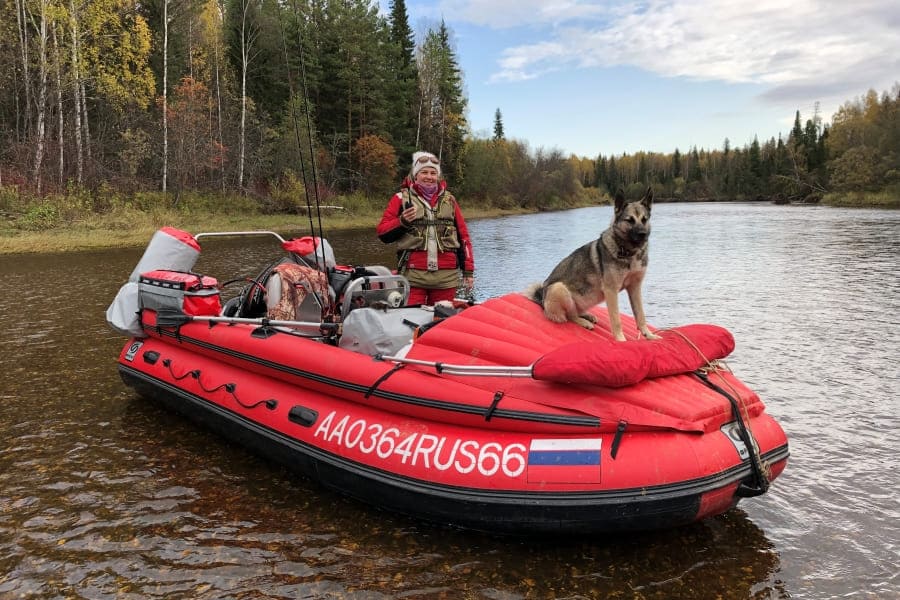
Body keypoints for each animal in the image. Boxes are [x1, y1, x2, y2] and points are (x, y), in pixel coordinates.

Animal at [528, 188, 660, 340]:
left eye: (644, 219)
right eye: (630, 220)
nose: (643, 234)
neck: (628, 252)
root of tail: (542, 299)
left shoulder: (635, 288)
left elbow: (641, 315)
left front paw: (649, 335)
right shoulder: (611, 291)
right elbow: (616, 319)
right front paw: (620, 339)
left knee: (575, 312)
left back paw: (588, 316)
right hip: (559, 288)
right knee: (569, 316)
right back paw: (584, 322)